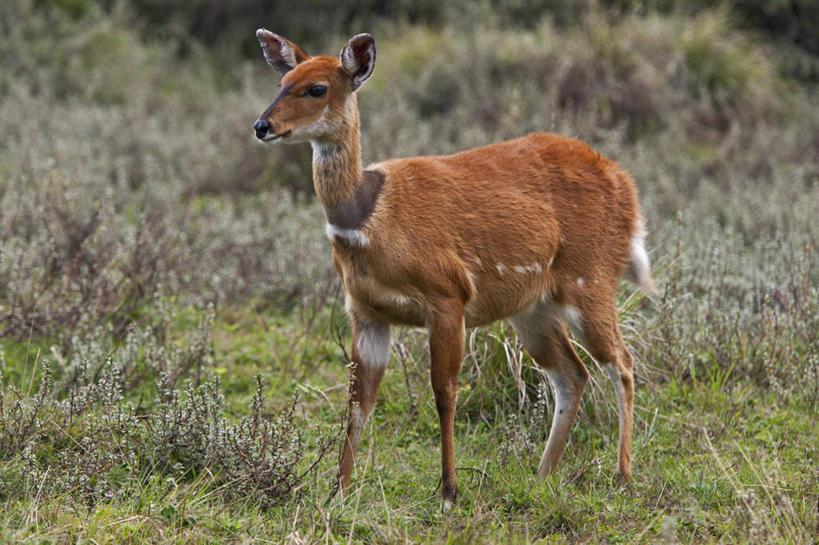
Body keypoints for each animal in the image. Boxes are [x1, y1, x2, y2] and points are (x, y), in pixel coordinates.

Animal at [253, 28, 656, 506]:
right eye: (282, 81)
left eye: (316, 88)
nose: (262, 126)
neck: (369, 219)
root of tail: (627, 188)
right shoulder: (365, 312)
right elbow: (357, 402)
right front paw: (338, 492)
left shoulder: (448, 295)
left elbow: (444, 392)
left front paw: (448, 491)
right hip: (532, 307)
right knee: (571, 373)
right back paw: (541, 477)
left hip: (589, 280)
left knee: (622, 363)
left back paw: (623, 476)